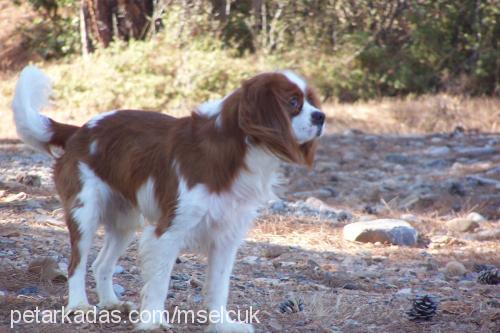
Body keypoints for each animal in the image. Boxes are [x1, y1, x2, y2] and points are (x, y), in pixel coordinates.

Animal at [12, 66, 324, 330]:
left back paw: (111, 303)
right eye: (293, 102)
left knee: (101, 264)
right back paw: (79, 305)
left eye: (310, 100)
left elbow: (219, 286)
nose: (321, 116)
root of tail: (79, 130)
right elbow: (159, 283)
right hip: (85, 212)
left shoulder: (226, 237)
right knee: (76, 263)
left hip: (125, 223)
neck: (237, 150)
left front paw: (221, 324)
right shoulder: (168, 232)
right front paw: (152, 323)